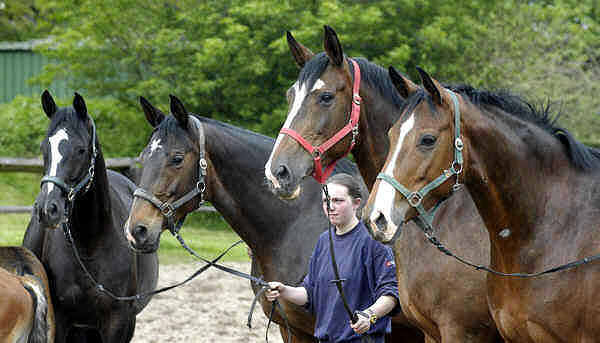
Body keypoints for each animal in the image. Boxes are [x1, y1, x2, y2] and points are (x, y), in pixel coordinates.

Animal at [23, 91, 159, 343]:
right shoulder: (61, 320)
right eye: (44, 148)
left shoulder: (118, 322)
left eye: (80, 150)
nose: (47, 209)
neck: (90, 245)